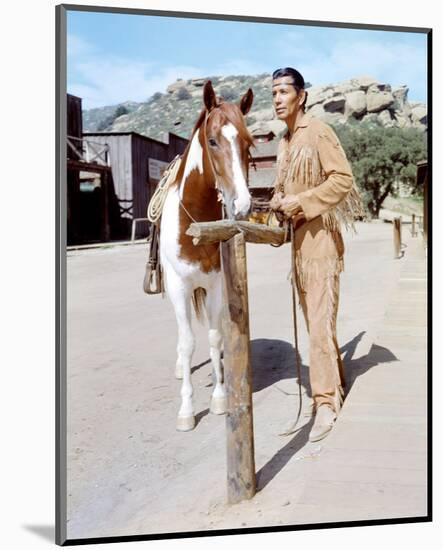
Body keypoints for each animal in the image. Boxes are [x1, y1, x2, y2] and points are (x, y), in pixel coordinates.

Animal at [161, 81, 255, 432]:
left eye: (248, 143)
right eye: (212, 141)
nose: (242, 204)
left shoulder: (215, 285)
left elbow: (215, 338)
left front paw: (219, 397)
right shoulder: (178, 286)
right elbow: (188, 343)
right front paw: (187, 410)